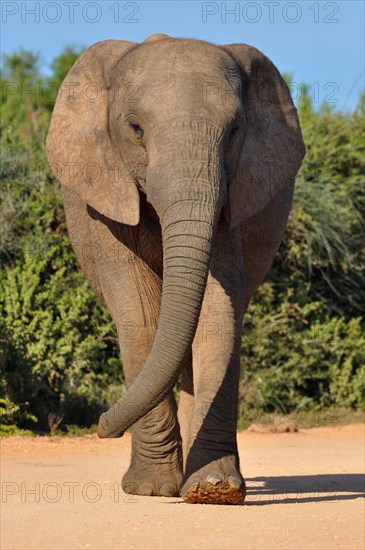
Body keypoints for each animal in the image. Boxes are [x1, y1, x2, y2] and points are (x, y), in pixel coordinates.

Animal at [46, 34, 304, 506]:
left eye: (235, 131)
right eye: (135, 129)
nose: (100, 425)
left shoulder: (231, 199)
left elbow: (217, 314)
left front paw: (214, 489)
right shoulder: (107, 199)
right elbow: (141, 314)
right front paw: (150, 490)